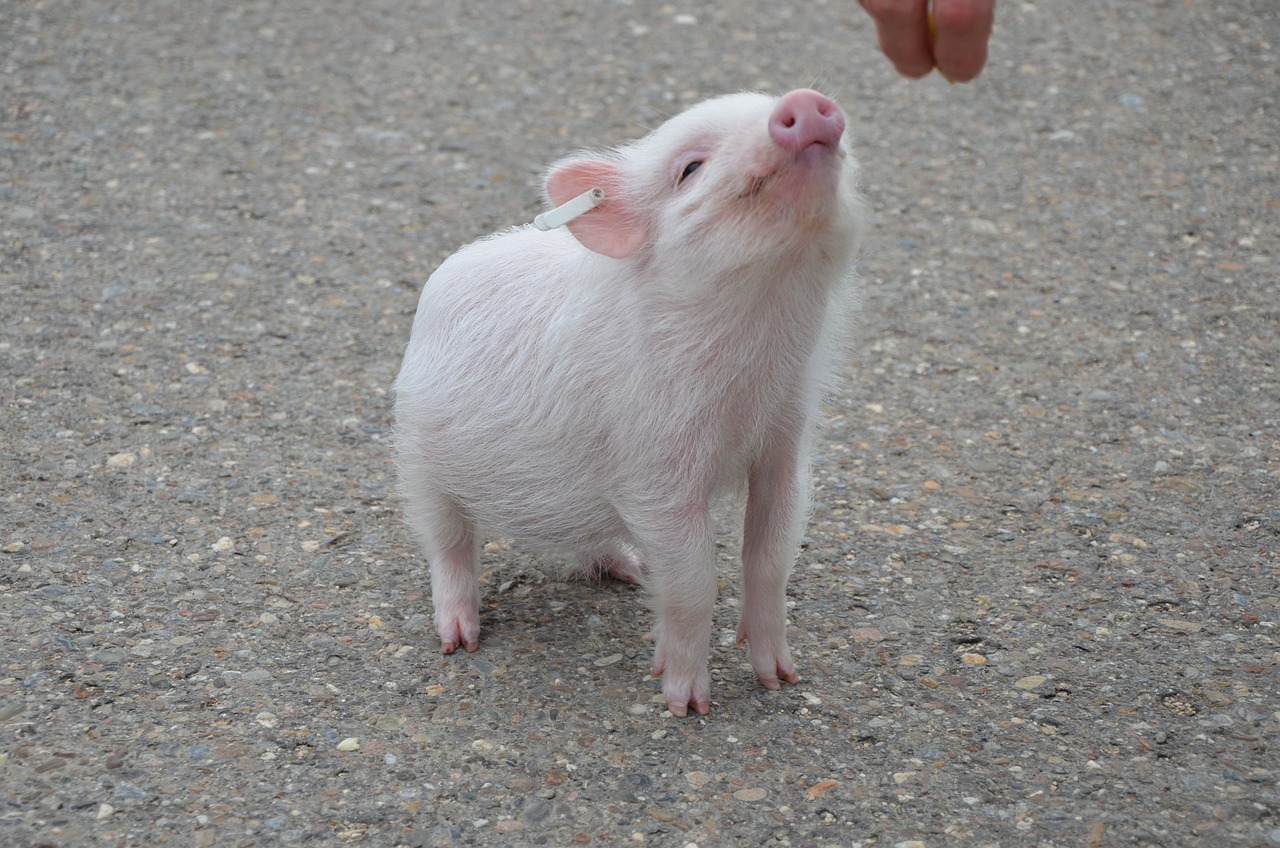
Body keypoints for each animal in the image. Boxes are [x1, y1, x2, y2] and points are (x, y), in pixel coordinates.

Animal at [393, 89, 865, 716]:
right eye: (689, 168)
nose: (805, 102)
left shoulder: (784, 443)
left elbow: (771, 557)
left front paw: (780, 680)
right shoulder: (655, 470)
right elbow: (693, 581)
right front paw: (687, 705)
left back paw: (631, 569)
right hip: (416, 451)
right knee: (445, 541)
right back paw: (459, 640)